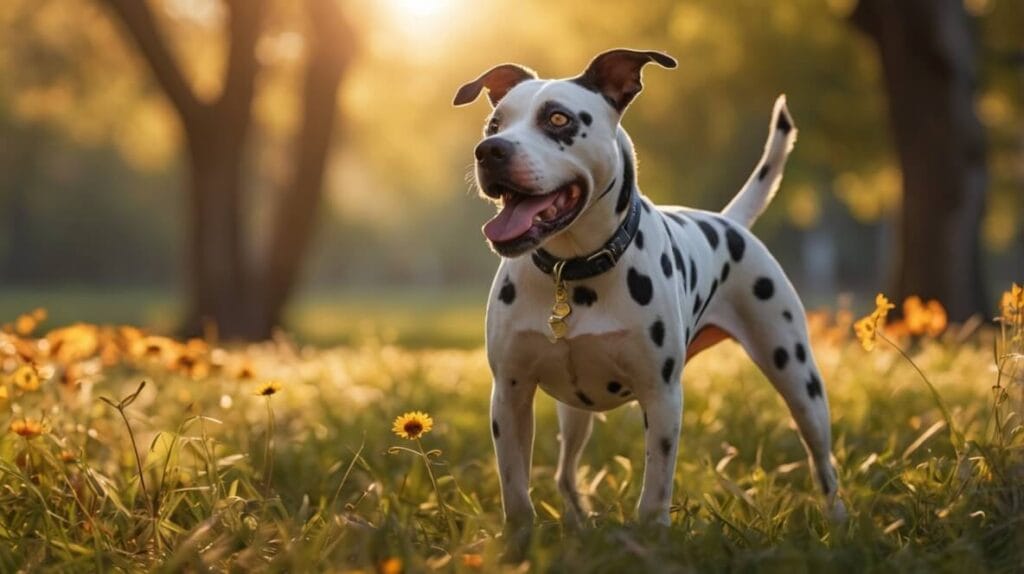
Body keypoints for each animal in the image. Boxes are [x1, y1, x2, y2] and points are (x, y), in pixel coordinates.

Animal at [456, 49, 847, 536]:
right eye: (494, 123)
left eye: (558, 118)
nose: (491, 151)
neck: (573, 272)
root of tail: (729, 221)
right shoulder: (510, 395)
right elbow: (516, 491)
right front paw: (519, 541)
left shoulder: (662, 398)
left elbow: (655, 490)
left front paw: (652, 537)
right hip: (575, 414)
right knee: (566, 472)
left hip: (798, 379)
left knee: (822, 461)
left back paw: (838, 518)